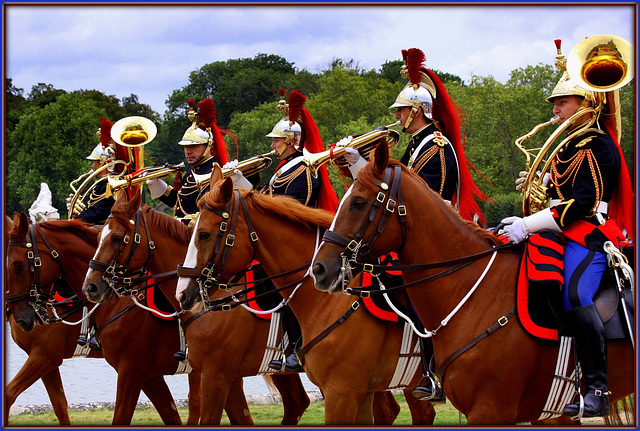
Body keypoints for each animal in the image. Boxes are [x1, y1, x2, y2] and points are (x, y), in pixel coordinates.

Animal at [5, 213, 198, 426]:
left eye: (18, 265)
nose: (23, 318)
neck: (118, 300)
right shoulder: (148, 376)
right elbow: (59, 405)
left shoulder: (46, 356)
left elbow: (9, 394)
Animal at [81, 191, 316, 426]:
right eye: (99, 236)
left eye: (116, 238)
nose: (90, 287)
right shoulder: (220, 377)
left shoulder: (206, 374)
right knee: (297, 402)